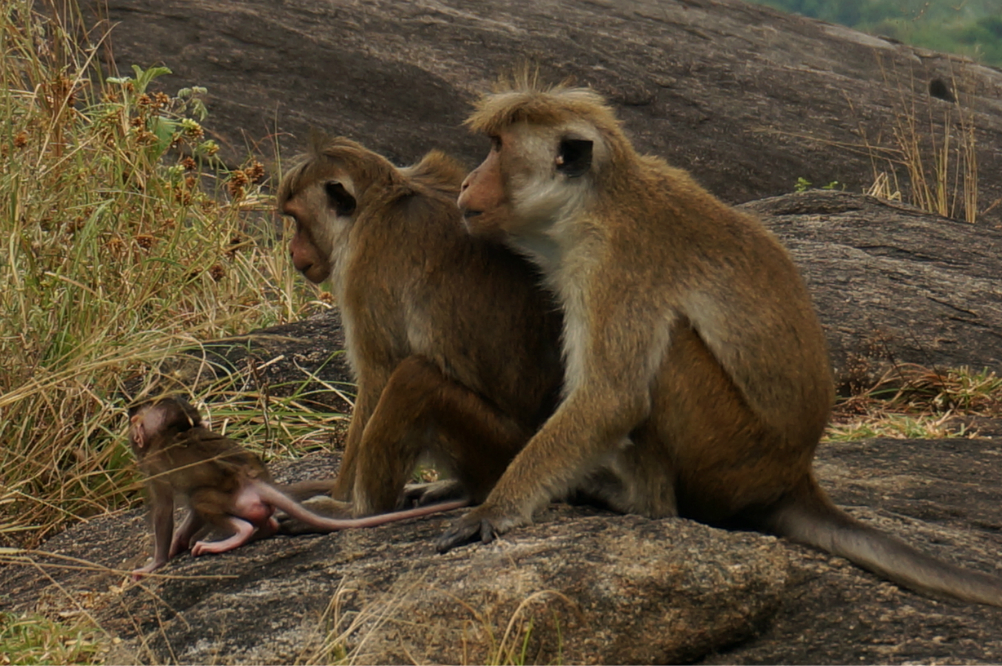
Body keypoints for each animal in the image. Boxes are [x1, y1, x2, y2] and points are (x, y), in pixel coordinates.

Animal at [128, 394, 464, 576]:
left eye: (135, 424)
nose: (129, 424)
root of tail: (256, 481)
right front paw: (177, 543)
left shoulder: (152, 468)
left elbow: (164, 511)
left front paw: (155, 562)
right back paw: (262, 530)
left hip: (234, 499)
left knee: (203, 501)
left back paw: (235, 536)